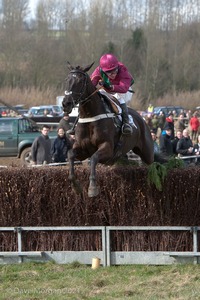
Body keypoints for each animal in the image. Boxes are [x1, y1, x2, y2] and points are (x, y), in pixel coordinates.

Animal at [63, 62, 154, 198]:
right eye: (67, 80)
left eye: (80, 81)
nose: (66, 104)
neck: (90, 115)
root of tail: (142, 119)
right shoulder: (82, 150)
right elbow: (70, 155)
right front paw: (75, 186)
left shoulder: (107, 147)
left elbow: (94, 158)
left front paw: (92, 187)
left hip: (147, 152)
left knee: (154, 163)